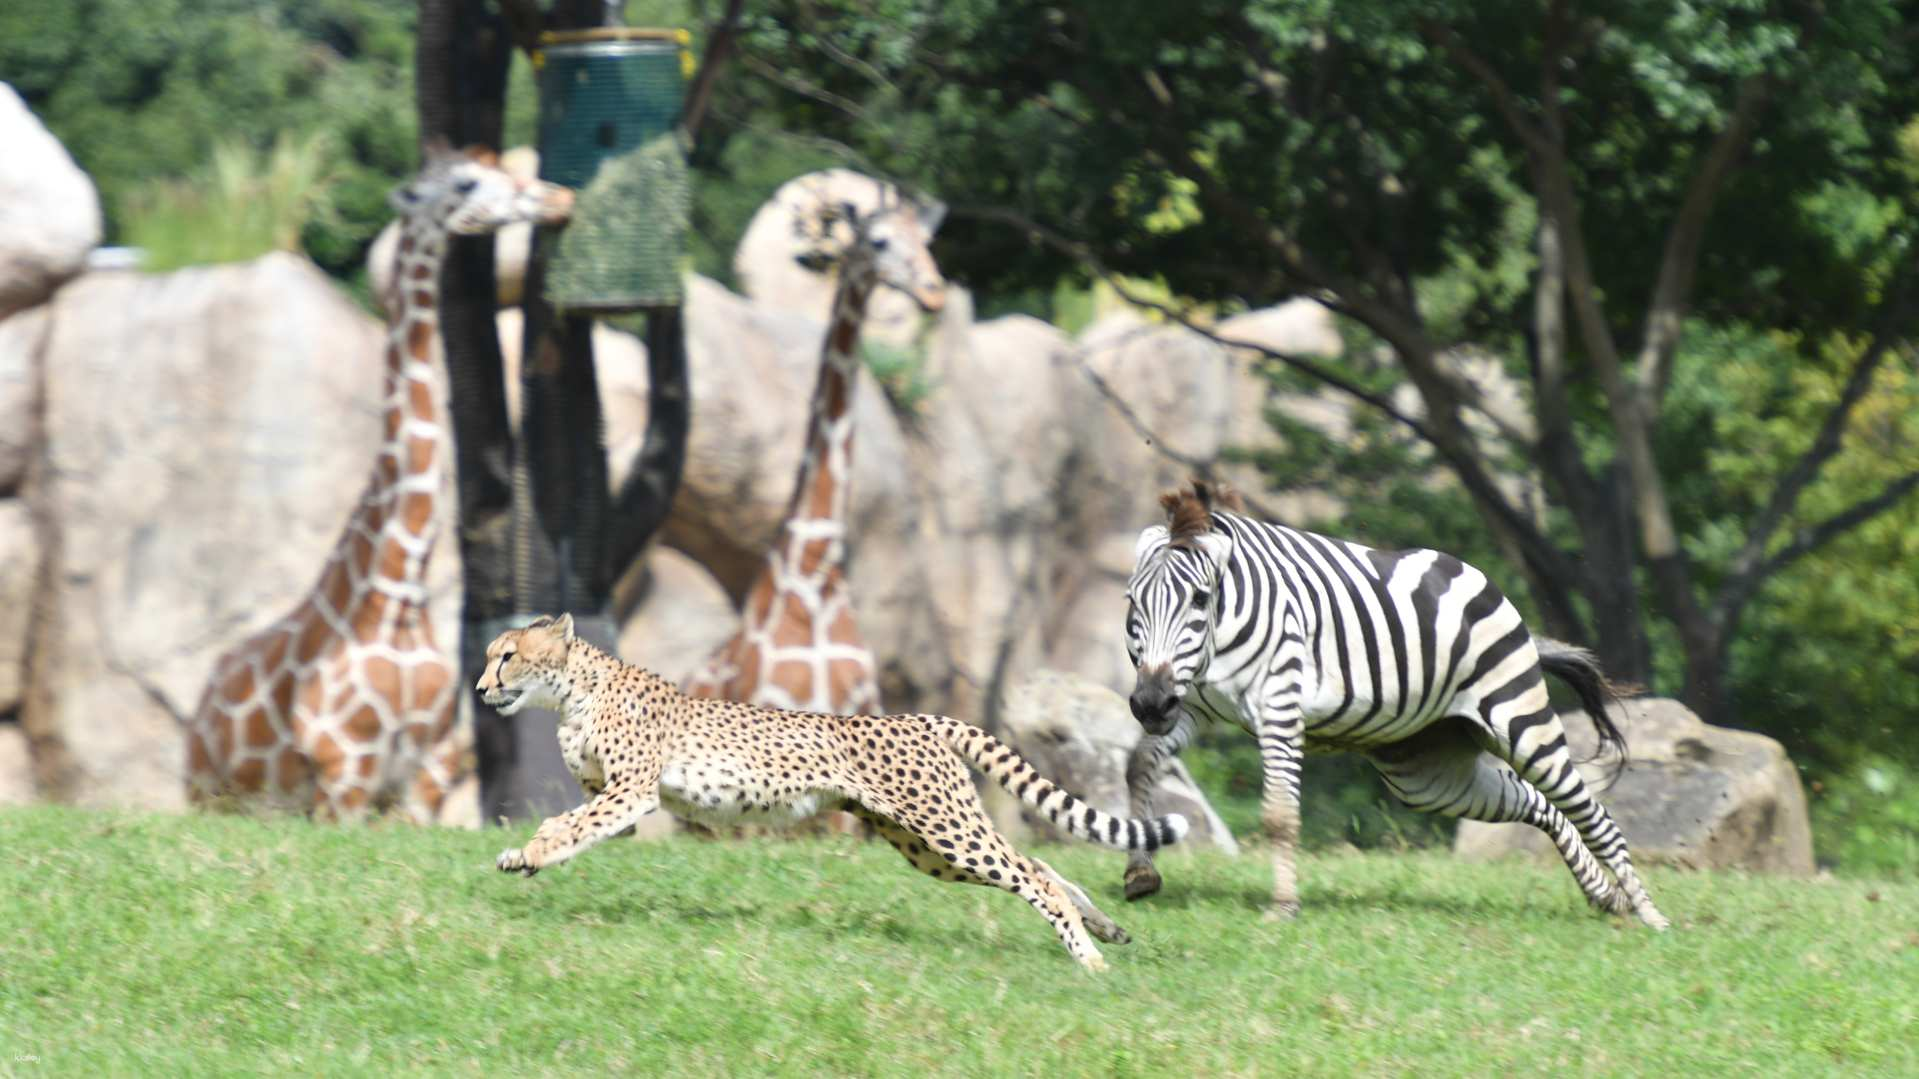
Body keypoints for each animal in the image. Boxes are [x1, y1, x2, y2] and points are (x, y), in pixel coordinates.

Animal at [186, 141, 575, 814]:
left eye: (505, 168)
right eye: (467, 183)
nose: (557, 198)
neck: (396, 594)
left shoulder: (426, 769)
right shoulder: (345, 769)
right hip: (214, 795)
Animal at [479, 610, 1182, 971]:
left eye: (506, 655)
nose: (483, 688)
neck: (575, 690)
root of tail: (917, 716)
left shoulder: (632, 792)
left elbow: (569, 828)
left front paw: (529, 855)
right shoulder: (615, 796)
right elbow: (568, 822)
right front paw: (520, 856)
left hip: (942, 827)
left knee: (1030, 873)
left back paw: (1087, 955)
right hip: (924, 842)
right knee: (1033, 862)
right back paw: (1106, 928)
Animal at [1120, 478, 1665, 925]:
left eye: (1198, 599)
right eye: (1131, 603)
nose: (1150, 704)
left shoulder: (1279, 707)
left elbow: (1279, 814)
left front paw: (1283, 907)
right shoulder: (1193, 705)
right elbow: (1140, 764)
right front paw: (1141, 873)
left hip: (1518, 722)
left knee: (1591, 810)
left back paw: (1649, 914)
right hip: (1427, 773)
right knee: (1535, 802)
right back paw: (1604, 895)